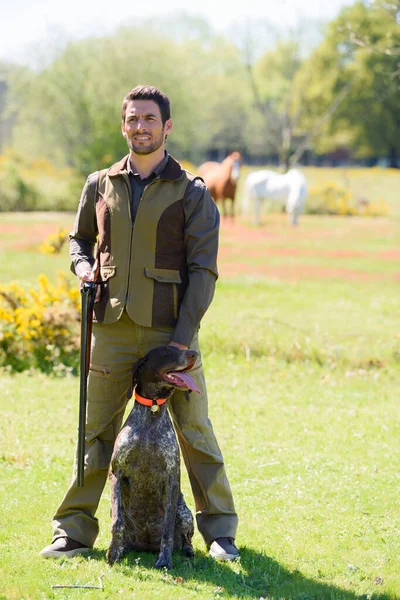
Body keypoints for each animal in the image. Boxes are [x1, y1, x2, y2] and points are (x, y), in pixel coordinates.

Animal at [106, 344, 200, 568]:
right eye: (166, 352)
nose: (194, 354)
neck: (153, 410)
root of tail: (146, 546)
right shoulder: (116, 473)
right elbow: (117, 522)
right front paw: (113, 552)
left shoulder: (172, 478)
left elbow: (167, 528)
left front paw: (164, 561)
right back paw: (123, 548)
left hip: (185, 513)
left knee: (185, 538)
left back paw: (188, 551)